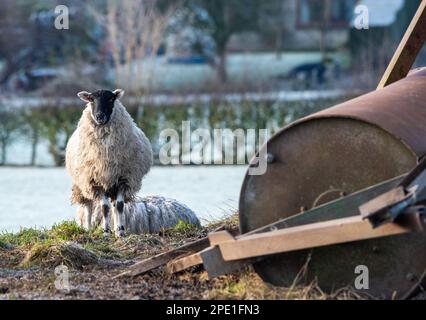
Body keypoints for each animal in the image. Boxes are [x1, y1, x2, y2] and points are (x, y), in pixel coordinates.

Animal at [65, 89, 152, 236]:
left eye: (111, 99)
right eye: (91, 100)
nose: (100, 116)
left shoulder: (123, 179)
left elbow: (120, 206)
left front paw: (120, 231)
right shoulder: (98, 180)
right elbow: (104, 207)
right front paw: (106, 232)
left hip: (112, 184)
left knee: (115, 205)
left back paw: (117, 228)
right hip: (82, 183)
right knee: (88, 205)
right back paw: (88, 228)